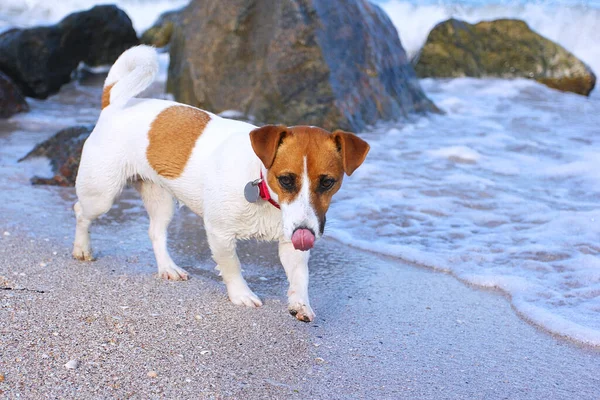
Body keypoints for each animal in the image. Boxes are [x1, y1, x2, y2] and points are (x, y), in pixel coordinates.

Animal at [72, 46, 368, 322]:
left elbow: (300, 276)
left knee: (156, 232)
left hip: (161, 199)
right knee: (81, 212)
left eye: (328, 182)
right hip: (101, 194)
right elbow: (232, 266)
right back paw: (82, 248)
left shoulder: (291, 238)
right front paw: (241, 295)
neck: (261, 186)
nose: (307, 232)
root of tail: (113, 103)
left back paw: (167, 267)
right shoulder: (219, 233)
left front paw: (300, 303)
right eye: (285, 179)